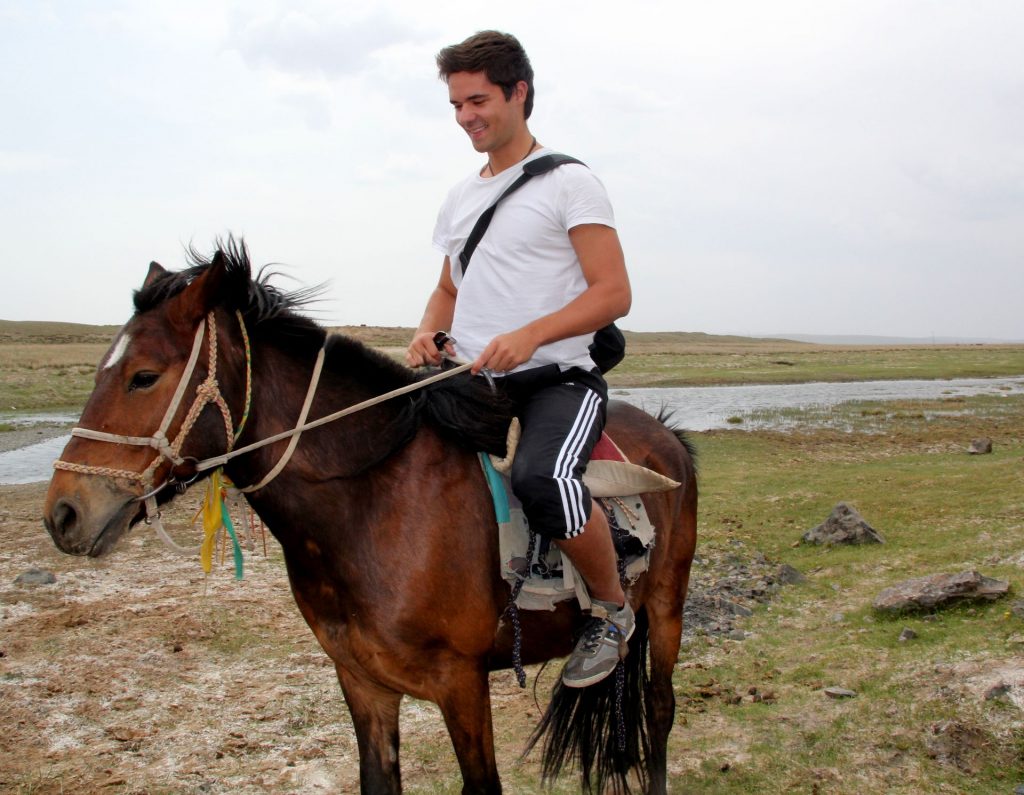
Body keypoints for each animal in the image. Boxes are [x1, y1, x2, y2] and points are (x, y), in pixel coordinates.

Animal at [39, 241, 696, 795]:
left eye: (144, 376)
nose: (63, 514)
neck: (373, 501)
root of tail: (667, 434)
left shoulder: (461, 683)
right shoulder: (363, 682)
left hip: (665, 606)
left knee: (659, 709)